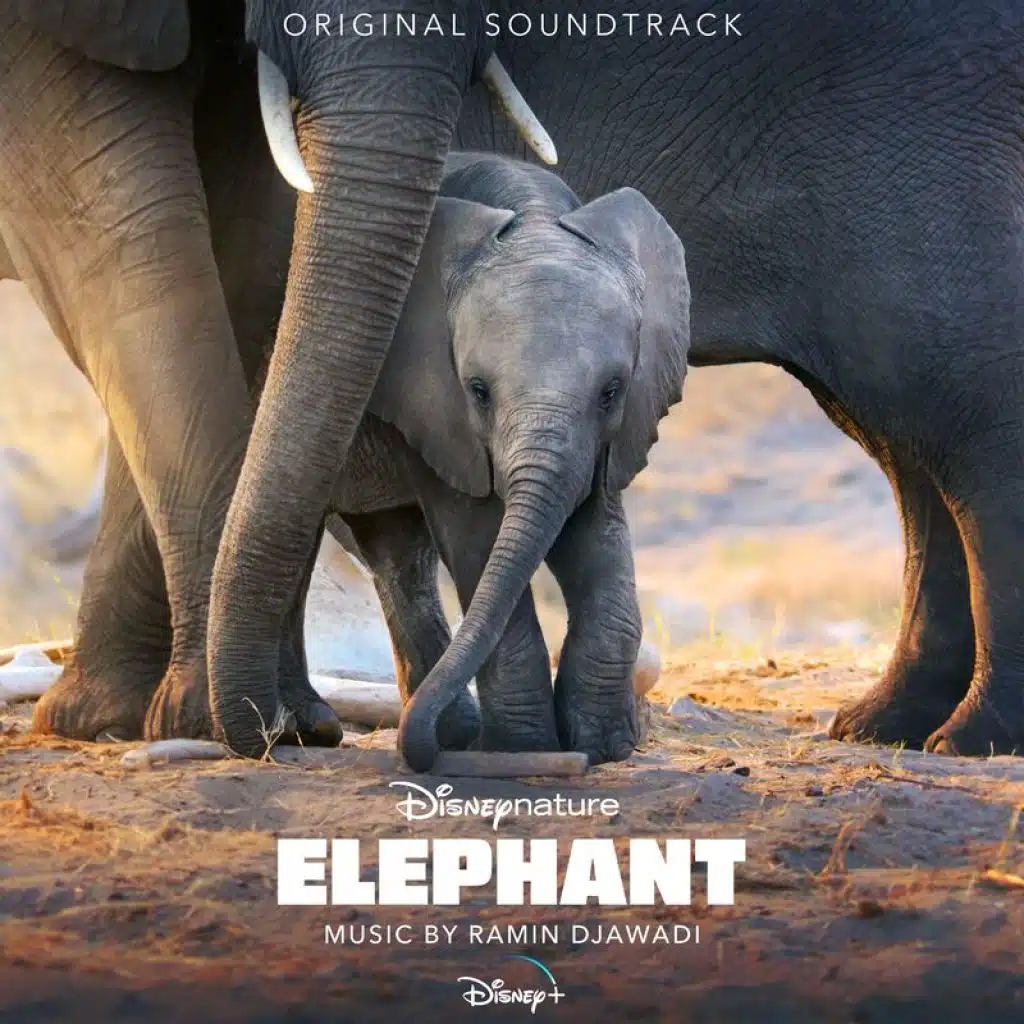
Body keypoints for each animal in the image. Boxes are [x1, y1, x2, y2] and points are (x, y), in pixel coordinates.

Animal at [323, 152, 688, 768]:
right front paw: (525, 748)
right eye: (478, 391)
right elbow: (476, 536)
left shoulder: (610, 436)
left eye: (611, 392)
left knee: (395, 552)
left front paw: (603, 747)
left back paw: (451, 733)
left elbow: (595, 533)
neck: (533, 215)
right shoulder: (433, 401)